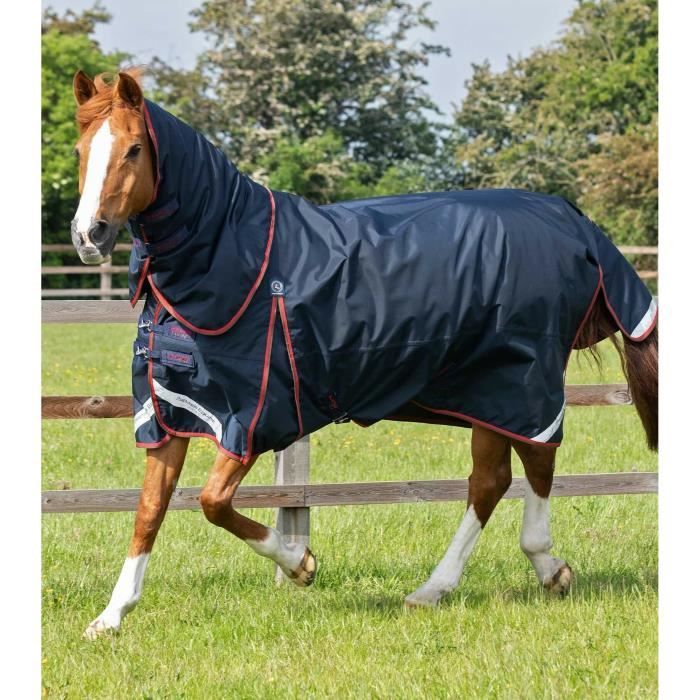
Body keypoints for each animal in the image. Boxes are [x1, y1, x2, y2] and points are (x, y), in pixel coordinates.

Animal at [70, 69, 658, 640]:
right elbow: (150, 509)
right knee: (491, 482)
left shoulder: (254, 416)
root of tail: (573, 221)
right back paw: (436, 590)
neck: (234, 257)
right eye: (80, 150)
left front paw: (300, 563)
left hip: (520, 381)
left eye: (134, 149)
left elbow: (212, 502)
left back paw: (542, 568)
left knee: (535, 459)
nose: (88, 235)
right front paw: (111, 616)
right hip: (484, 393)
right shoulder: (169, 410)